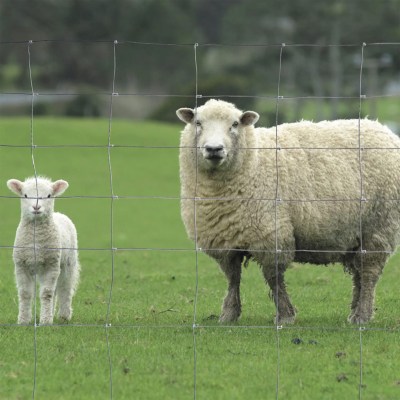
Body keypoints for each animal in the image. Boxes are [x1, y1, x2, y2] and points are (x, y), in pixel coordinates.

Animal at [7, 176, 80, 324]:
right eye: (25, 195)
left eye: (49, 195)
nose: (36, 207)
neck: (36, 242)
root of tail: (59, 214)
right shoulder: (21, 265)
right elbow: (25, 293)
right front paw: (23, 320)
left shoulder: (51, 265)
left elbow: (46, 294)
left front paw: (45, 321)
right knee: (55, 290)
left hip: (68, 262)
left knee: (65, 288)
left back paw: (63, 315)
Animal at [176, 99, 400, 324]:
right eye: (198, 123)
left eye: (235, 124)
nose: (214, 149)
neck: (254, 163)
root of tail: (383, 129)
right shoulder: (225, 241)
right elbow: (232, 278)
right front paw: (228, 315)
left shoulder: (271, 234)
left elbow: (273, 278)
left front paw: (285, 316)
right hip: (355, 236)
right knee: (358, 275)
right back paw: (355, 311)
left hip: (379, 226)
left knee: (369, 272)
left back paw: (362, 315)